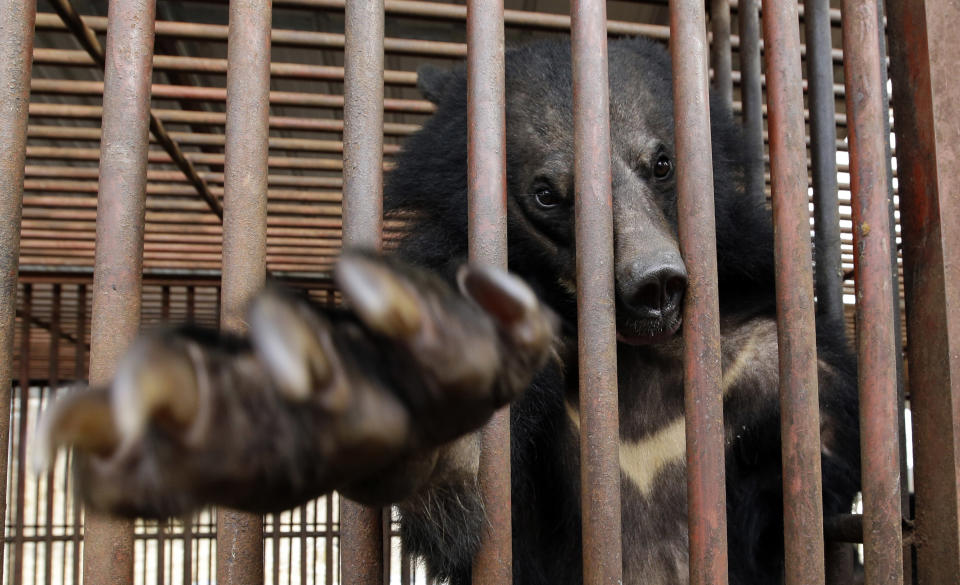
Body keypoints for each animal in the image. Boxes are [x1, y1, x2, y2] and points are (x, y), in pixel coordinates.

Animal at [35, 36, 864, 584]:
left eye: (662, 162)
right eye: (546, 194)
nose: (653, 284)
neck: (625, 360)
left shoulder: (750, 359)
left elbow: (822, 458)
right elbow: (459, 497)